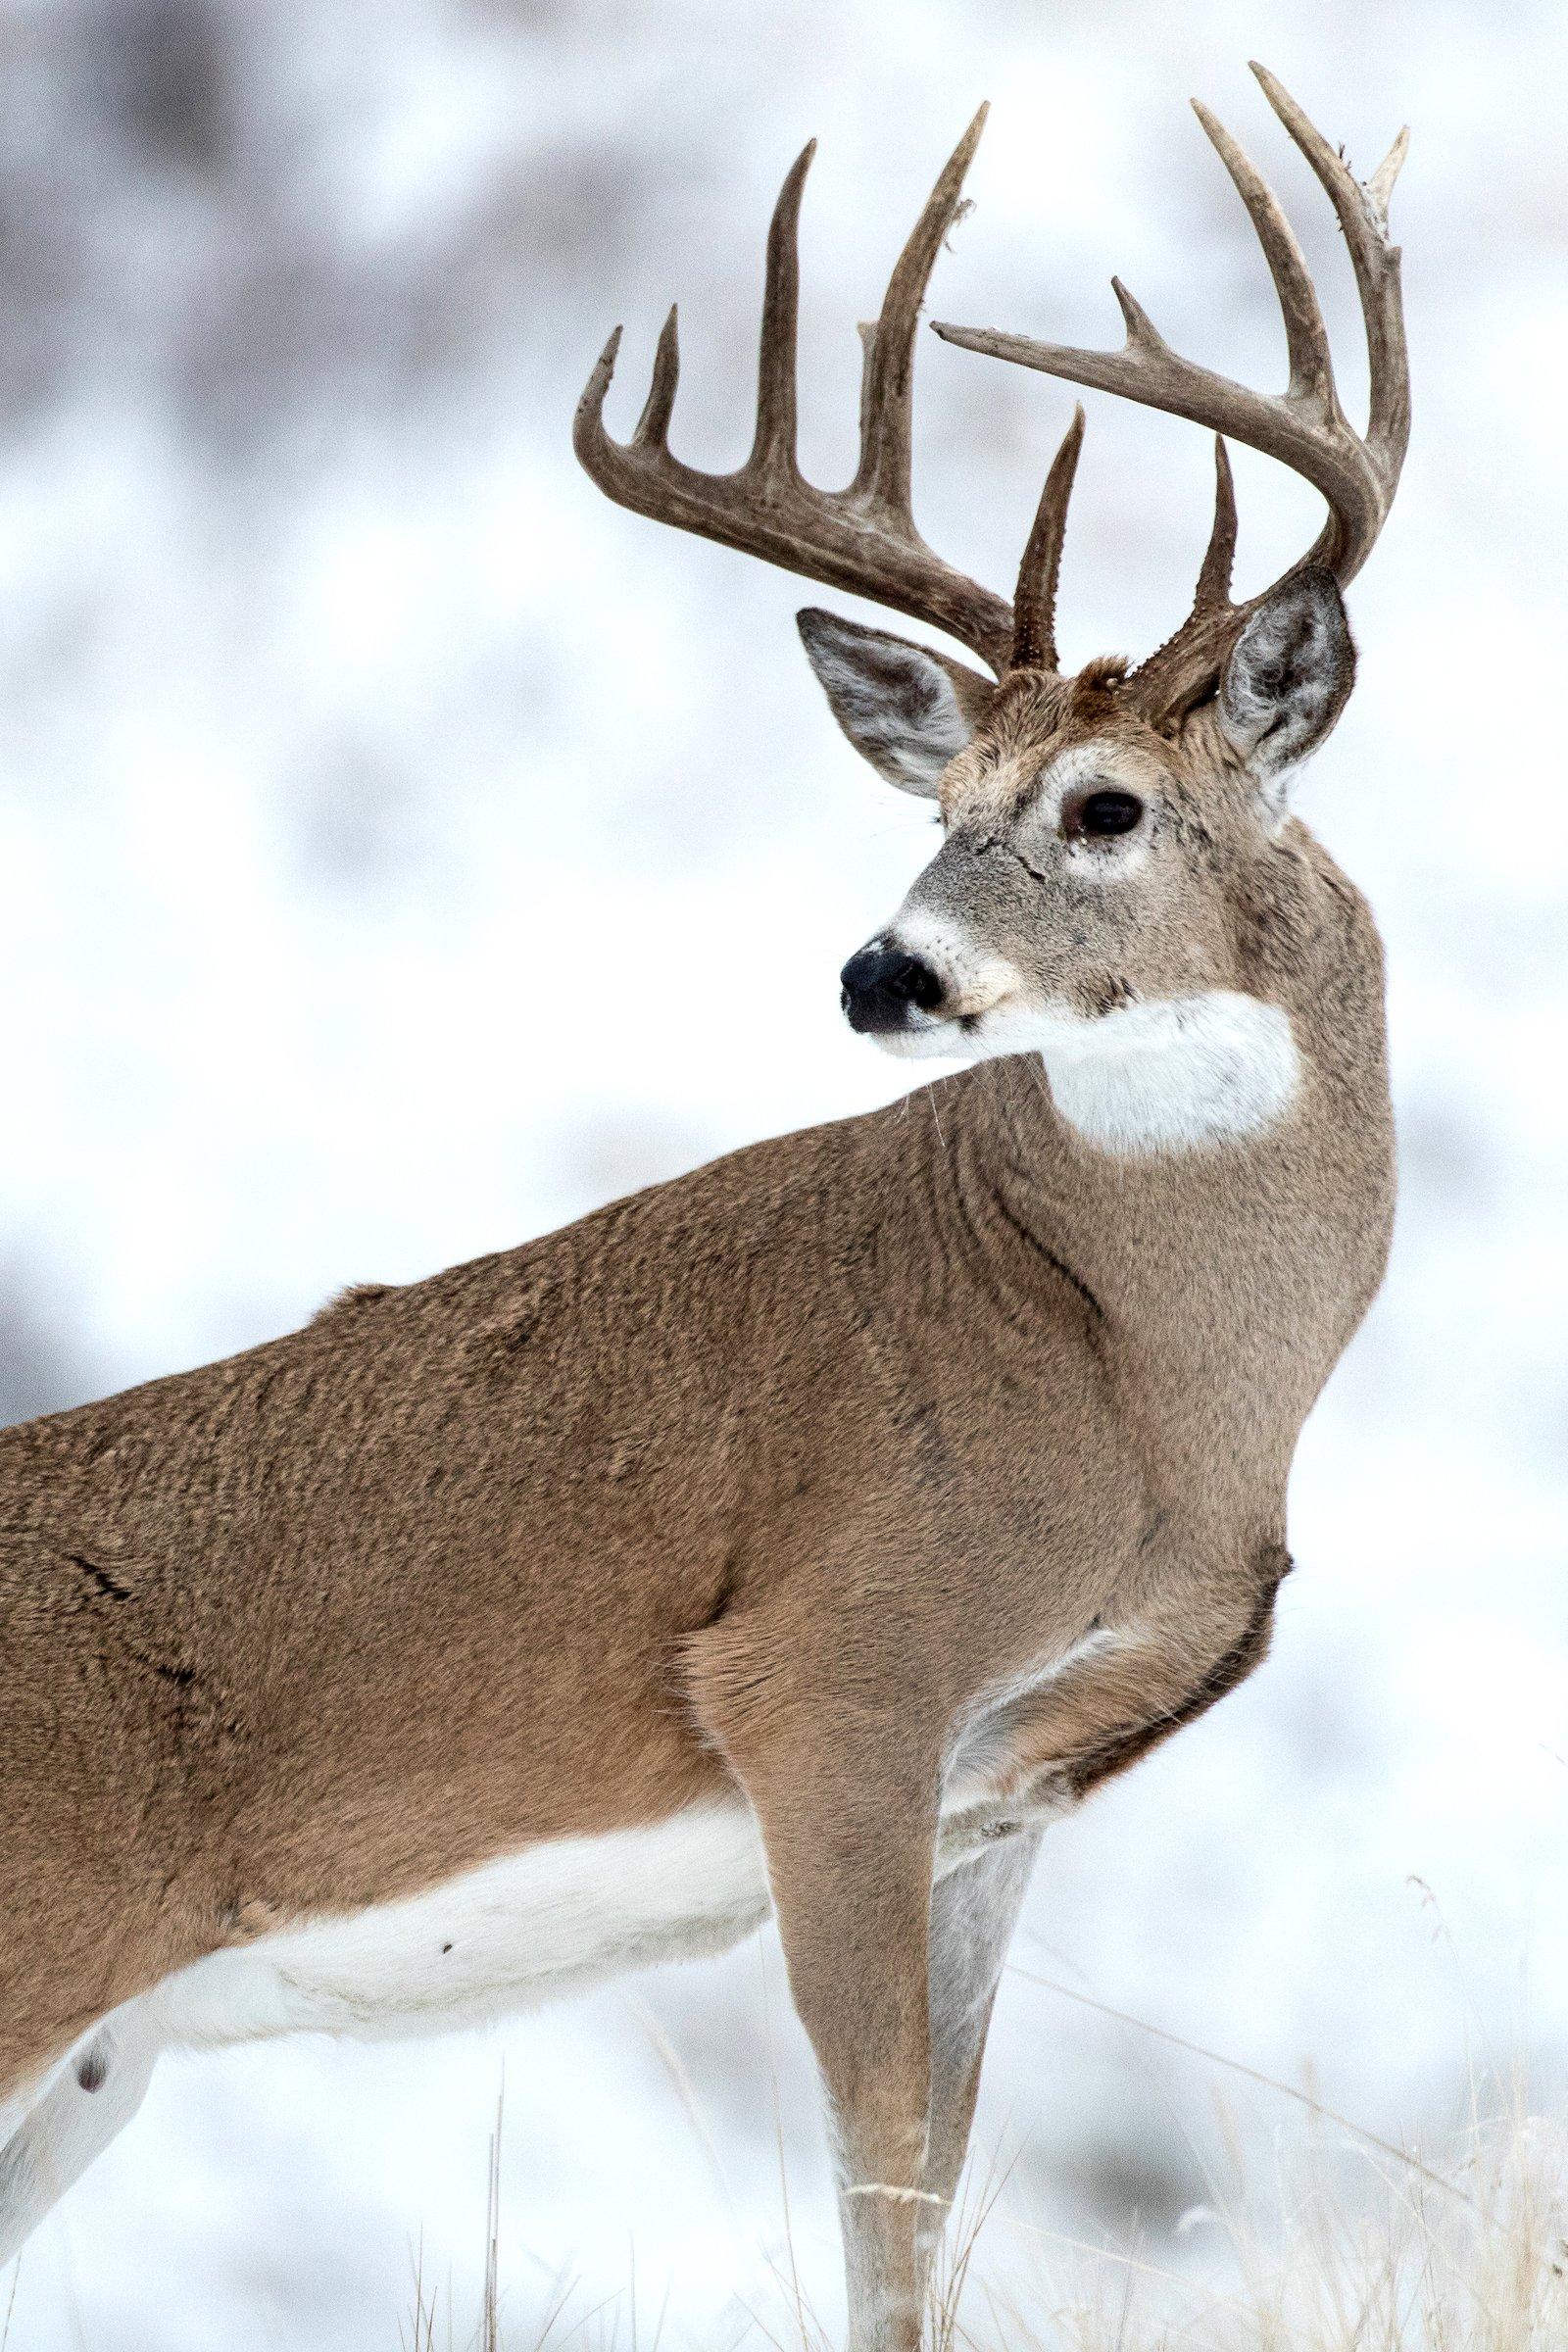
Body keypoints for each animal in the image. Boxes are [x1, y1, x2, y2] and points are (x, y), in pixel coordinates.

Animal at [3, 64, 1410, 2342]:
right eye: (941, 804)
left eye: (1104, 805)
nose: (881, 973)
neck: (1146, 1387)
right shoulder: (824, 1677)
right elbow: (874, 2195)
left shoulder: (1000, 1799)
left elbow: (933, 2187)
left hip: (91, 2063)